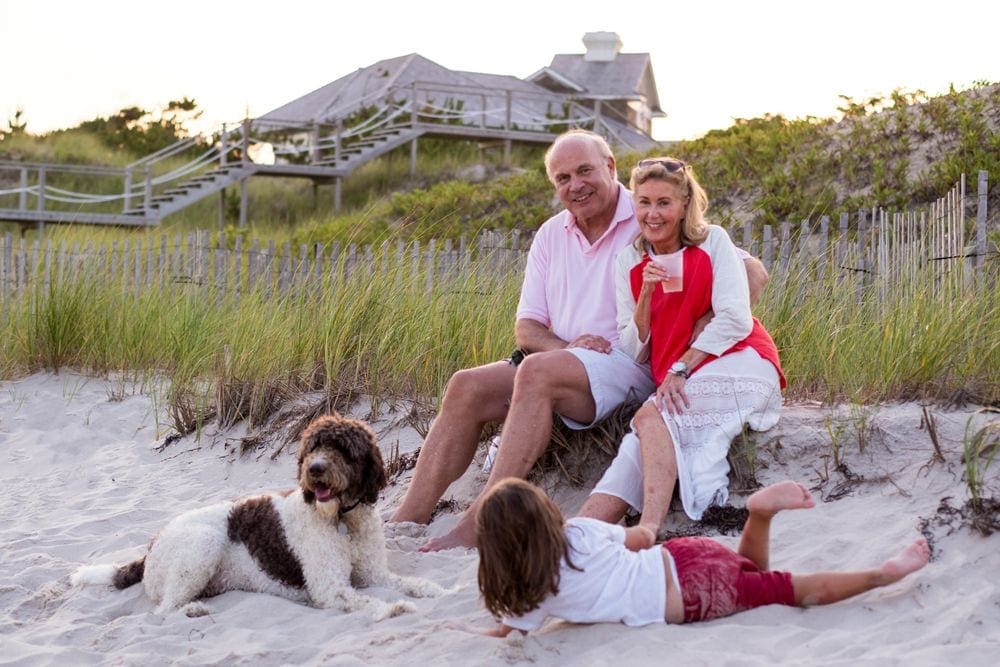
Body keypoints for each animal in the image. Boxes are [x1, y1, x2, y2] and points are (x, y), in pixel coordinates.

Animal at [71, 414, 446, 620]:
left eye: (343, 449)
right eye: (313, 446)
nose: (315, 470)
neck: (342, 519)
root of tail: (150, 547)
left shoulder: (374, 574)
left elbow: (409, 584)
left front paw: (438, 590)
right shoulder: (332, 588)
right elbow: (369, 599)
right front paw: (394, 609)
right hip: (202, 545)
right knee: (163, 610)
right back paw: (192, 611)